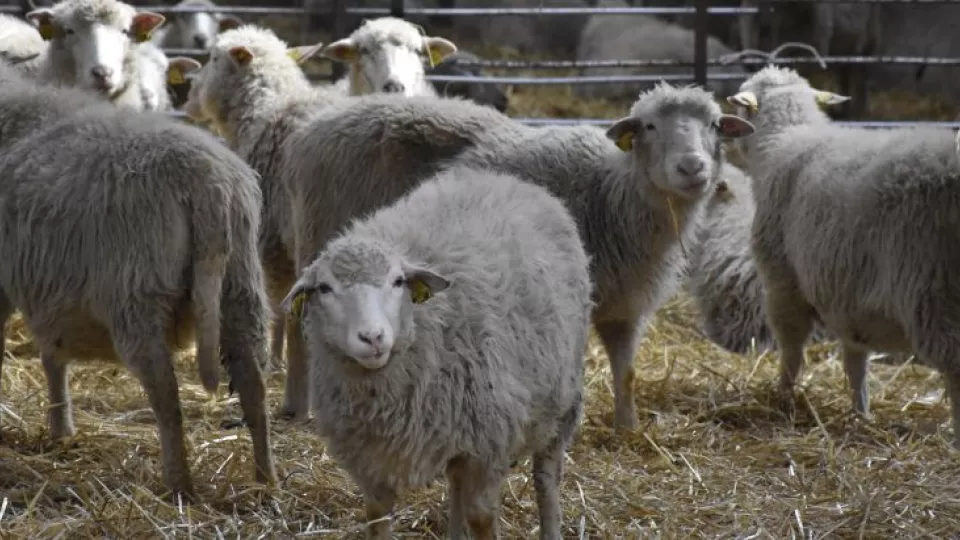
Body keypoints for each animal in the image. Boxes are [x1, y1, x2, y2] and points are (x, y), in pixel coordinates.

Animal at [280, 167, 592, 536]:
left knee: (546, 477)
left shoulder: (489, 444)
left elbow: (482, 517)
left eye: (398, 281)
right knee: (456, 483)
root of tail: (508, 179)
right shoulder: (369, 459)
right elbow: (377, 518)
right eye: (325, 288)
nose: (373, 337)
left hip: (562, 401)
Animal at [728, 64, 960, 448]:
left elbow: (791, 349)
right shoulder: (847, 295)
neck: (785, 141)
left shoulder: (783, 282)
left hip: (934, 290)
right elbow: (855, 361)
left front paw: (784, 396)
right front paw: (860, 412)